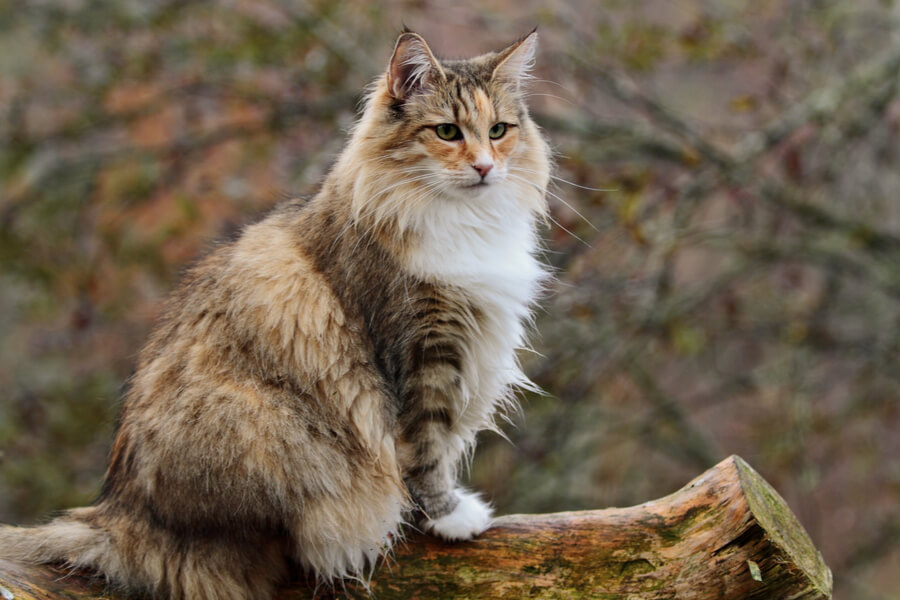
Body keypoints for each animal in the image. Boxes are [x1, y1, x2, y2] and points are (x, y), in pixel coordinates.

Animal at [0, 29, 552, 600]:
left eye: (498, 131)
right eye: (447, 132)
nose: (485, 167)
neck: (462, 221)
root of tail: (120, 514)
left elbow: (436, 447)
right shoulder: (418, 354)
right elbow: (424, 453)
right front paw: (449, 516)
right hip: (267, 423)